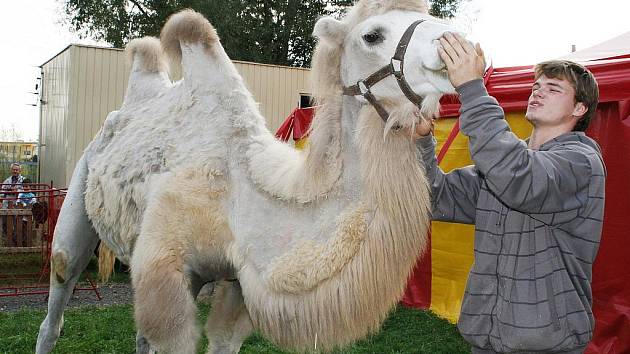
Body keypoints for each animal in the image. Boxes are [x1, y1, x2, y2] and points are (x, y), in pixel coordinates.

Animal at [35, 1, 460, 352]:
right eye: (372, 35)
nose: (455, 43)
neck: (244, 194)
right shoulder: (165, 265)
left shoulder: (237, 286)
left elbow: (222, 339)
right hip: (80, 185)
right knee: (59, 287)